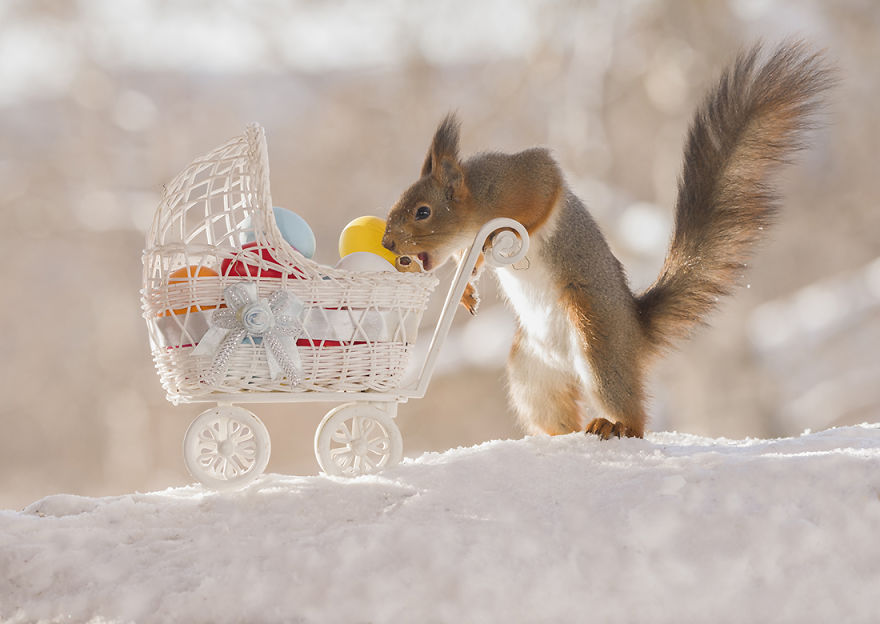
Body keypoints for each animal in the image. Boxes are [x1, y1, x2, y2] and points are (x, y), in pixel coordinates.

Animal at [381, 42, 835, 440]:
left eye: (423, 211)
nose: (387, 243)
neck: (477, 198)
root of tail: (634, 332)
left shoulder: (526, 177)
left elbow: (541, 198)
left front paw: (493, 240)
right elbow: (466, 258)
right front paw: (466, 288)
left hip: (595, 332)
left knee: (629, 411)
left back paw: (616, 425)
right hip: (530, 373)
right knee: (557, 413)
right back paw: (558, 436)